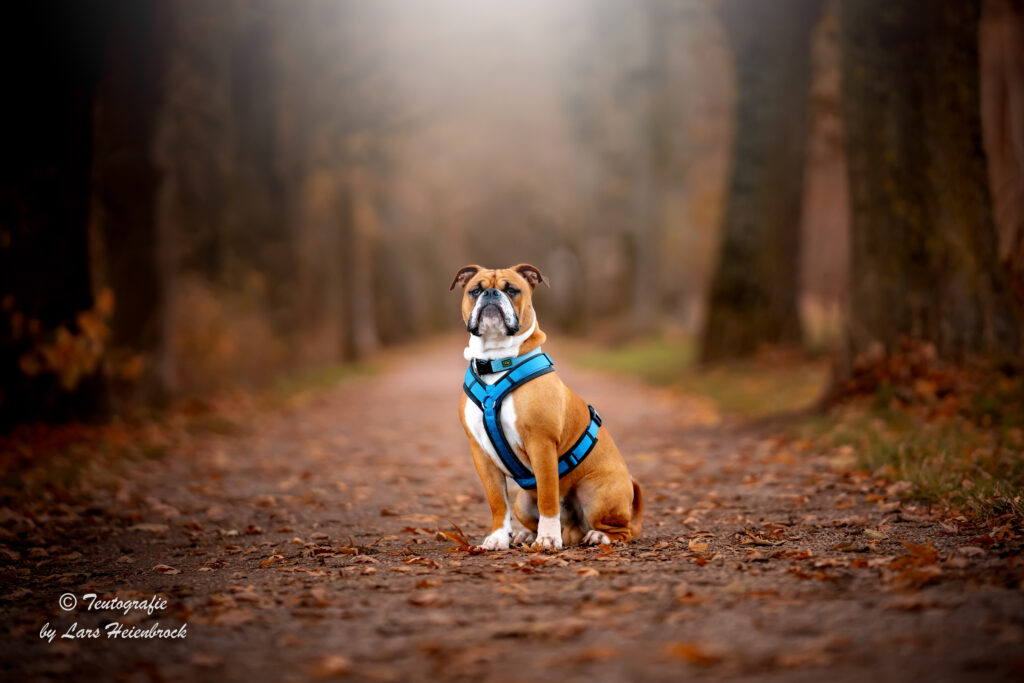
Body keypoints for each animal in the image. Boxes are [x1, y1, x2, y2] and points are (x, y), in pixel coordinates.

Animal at [448, 264, 638, 548]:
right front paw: (498, 537)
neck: (496, 361)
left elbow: (548, 498)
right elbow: (497, 502)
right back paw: (525, 534)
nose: (491, 294)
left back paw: (598, 535)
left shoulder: (541, 443)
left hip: (597, 494)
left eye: (512, 290)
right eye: (475, 290)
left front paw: (548, 538)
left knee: (624, 530)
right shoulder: (480, 452)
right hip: (522, 501)